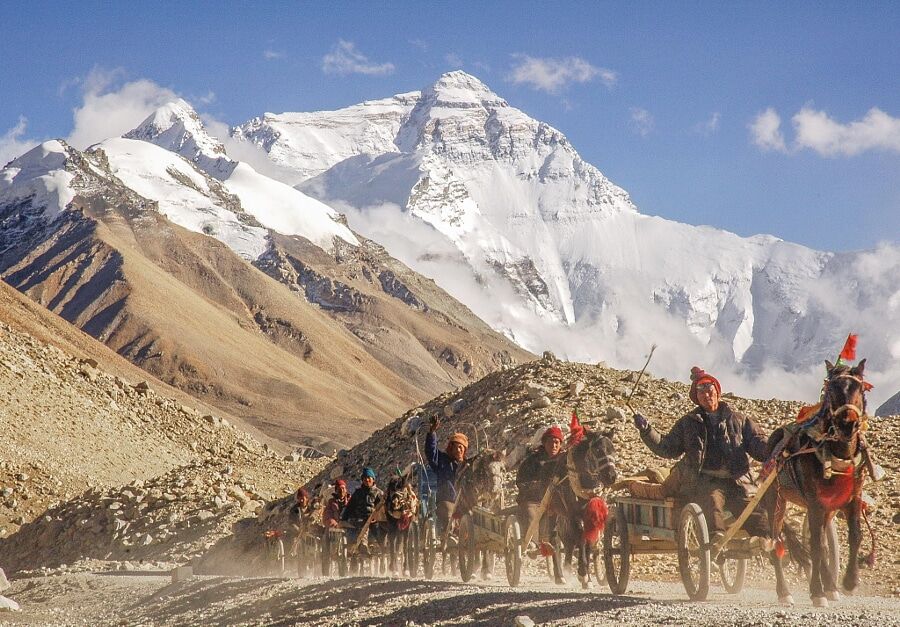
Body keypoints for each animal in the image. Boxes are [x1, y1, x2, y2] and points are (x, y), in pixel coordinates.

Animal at [764, 360, 876, 604]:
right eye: (831, 390)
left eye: (859, 389)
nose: (847, 425)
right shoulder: (815, 503)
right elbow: (815, 546)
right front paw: (816, 591)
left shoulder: (852, 499)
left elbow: (854, 536)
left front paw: (849, 582)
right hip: (775, 500)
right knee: (776, 542)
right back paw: (784, 592)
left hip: (827, 509)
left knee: (822, 543)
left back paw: (831, 586)